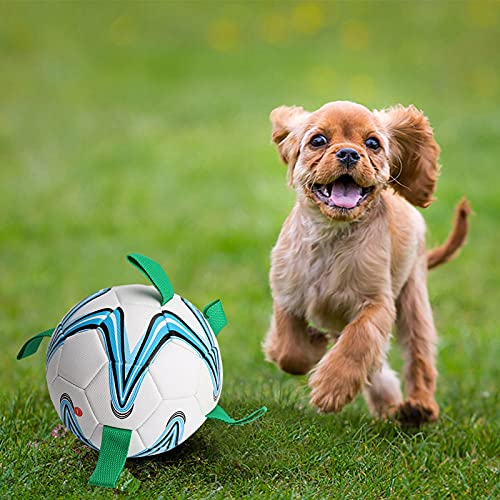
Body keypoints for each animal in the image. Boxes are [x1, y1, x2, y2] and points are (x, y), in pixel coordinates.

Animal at [264, 101, 470, 426]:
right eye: (318, 140)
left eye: (372, 143)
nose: (349, 153)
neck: (332, 234)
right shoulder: (287, 293)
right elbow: (288, 350)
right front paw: (313, 344)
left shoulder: (377, 303)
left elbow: (358, 341)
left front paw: (331, 388)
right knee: (377, 366)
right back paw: (390, 407)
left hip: (414, 298)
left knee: (419, 358)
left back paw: (417, 408)